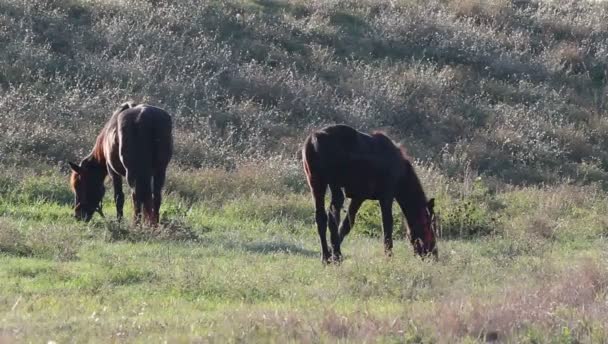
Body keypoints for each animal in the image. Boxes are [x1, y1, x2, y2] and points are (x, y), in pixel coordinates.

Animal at [300, 124, 436, 264]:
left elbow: (346, 225)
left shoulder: (359, 197)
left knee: (321, 217)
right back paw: (337, 256)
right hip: (334, 185)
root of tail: (314, 140)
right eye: (430, 226)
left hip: (315, 183)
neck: (401, 176)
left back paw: (326, 256)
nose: (433, 254)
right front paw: (389, 255)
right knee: (332, 215)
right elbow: (387, 226)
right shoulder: (386, 196)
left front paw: (332, 251)